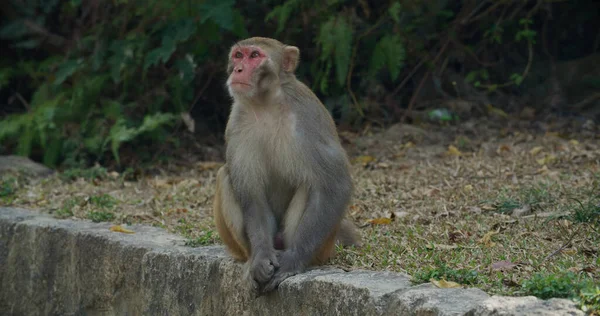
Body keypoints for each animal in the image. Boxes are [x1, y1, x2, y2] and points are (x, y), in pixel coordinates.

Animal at [212, 37, 360, 294]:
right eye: (238, 55)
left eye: (255, 56)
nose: (238, 70)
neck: (266, 103)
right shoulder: (237, 122)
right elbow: (251, 193)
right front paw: (261, 259)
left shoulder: (308, 117)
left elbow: (334, 183)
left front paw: (293, 260)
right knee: (225, 175)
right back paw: (252, 260)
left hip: (323, 246)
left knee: (311, 184)